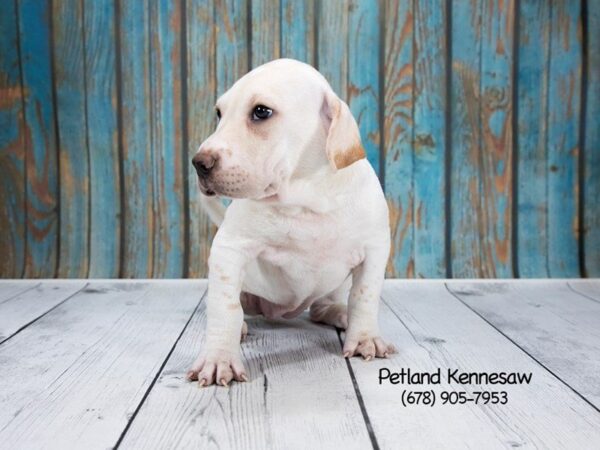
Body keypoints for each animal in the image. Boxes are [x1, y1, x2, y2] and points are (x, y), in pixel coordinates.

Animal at [188, 57, 394, 386]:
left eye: (261, 111)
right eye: (219, 113)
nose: (199, 163)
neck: (305, 197)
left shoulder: (375, 248)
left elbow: (365, 295)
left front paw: (364, 337)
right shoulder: (229, 249)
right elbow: (226, 307)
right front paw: (219, 358)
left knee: (324, 306)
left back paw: (340, 312)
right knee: (233, 306)